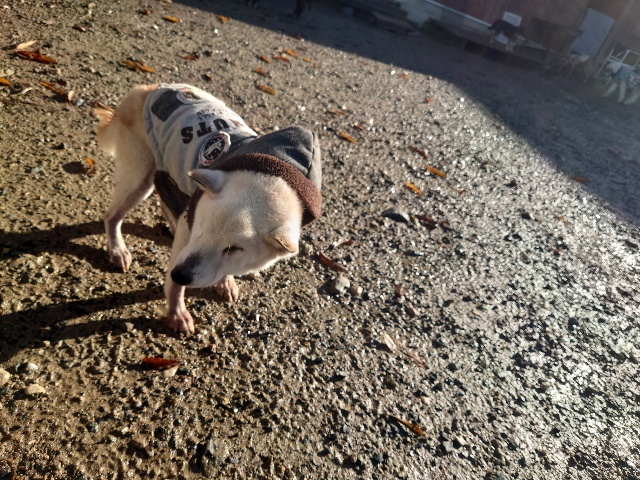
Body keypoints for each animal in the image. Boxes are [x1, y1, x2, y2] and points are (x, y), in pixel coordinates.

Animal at [94, 84, 322, 334]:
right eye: (201, 226)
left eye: (234, 249)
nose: (179, 274)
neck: (274, 176)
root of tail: (145, 90)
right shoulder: (188, 231)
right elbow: (174, 286)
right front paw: (177, 314)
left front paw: (226, 282)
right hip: (140, 178)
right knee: (112, 216)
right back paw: (118, 250)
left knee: (164, 201)